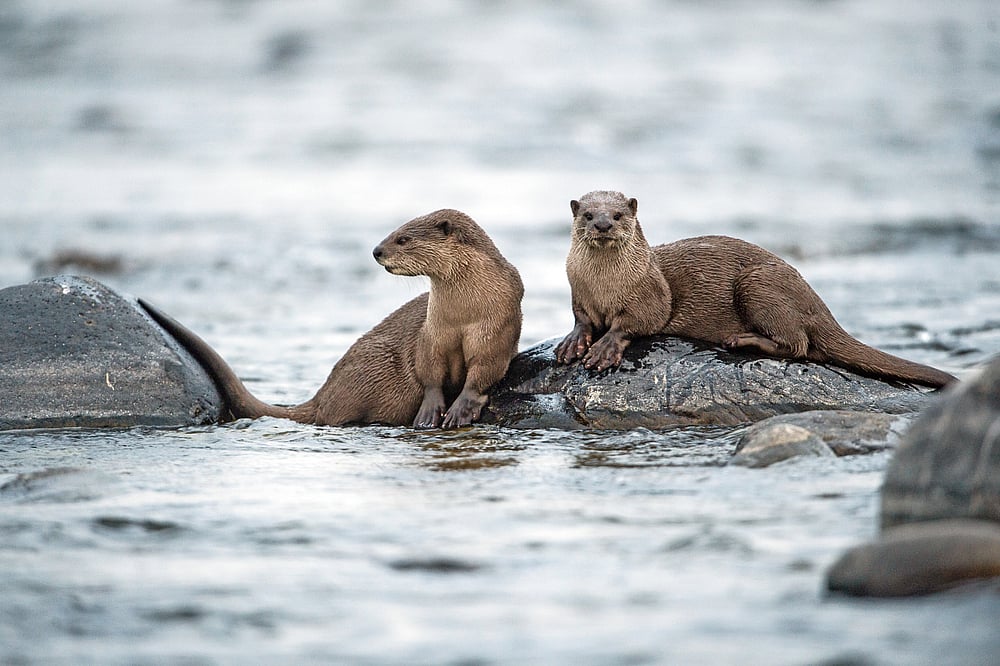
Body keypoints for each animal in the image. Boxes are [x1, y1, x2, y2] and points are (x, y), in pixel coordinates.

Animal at [141, 209, 524, 428]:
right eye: (392, 232)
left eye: (403, 238)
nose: (376, 250)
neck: (463, 313)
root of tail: (323, 394)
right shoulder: (432, 333)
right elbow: (429, 372)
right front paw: (430, 411)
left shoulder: (498, 328)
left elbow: (484, 372)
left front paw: (462, 408)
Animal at [554, 190, 956, 389]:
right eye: (587, 214)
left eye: (618, 215)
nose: (603, 224)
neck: (604, 286)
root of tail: (817, 304)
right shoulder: (578, 292)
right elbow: (582, 319)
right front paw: (574, 342)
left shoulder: (650, 293)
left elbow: (634, 322)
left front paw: (605, 347)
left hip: (758, 284)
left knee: (799, 345)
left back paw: (743, 340)